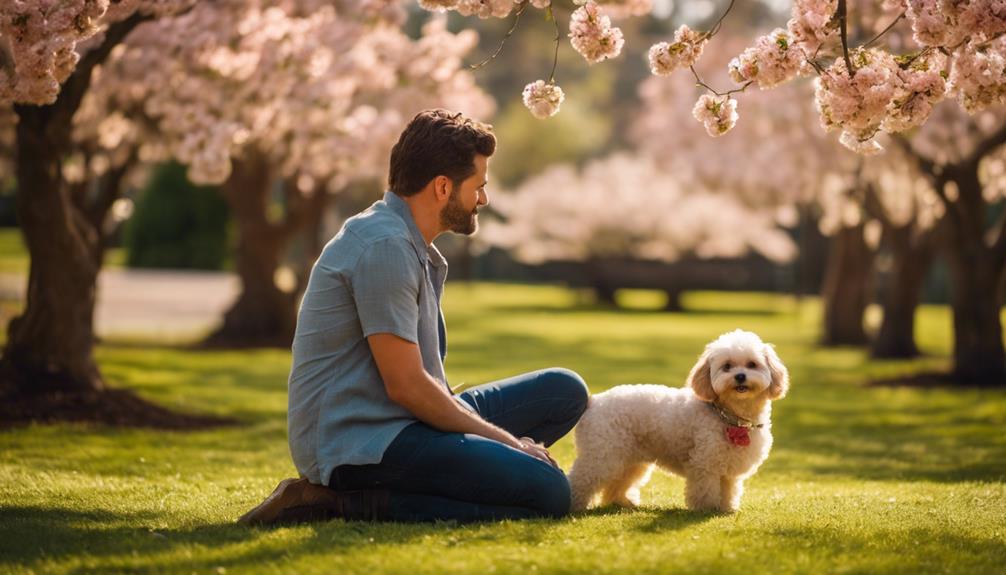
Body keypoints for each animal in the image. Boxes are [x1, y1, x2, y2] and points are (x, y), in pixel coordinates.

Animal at [571, 329, 788, 514]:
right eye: (727, 366)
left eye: (752, 364)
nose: (740, 376)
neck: (729, 416)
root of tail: (594, 401)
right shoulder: (705, 464)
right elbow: (706, 490)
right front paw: (707, 509)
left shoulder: (729, 469)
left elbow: (729, 490)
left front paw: (727, 508)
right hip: (601, 455)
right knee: (580, 479)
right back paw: (573, 505)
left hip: (629, 460)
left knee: (617, 484)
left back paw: (623, 502)